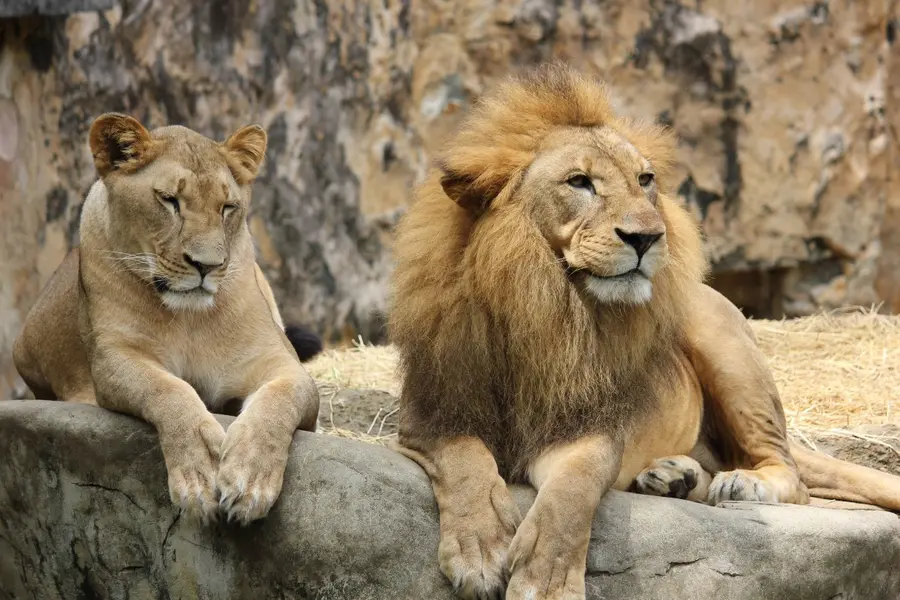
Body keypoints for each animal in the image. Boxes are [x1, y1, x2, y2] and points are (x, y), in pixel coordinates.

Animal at [13, 113, 320, 525]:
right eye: (170, 200)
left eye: (228, 207)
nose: (207, 265)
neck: (189, 319)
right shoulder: (114, 359)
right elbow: (167, 389)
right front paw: (200, 470)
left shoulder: (281, 363)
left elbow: (279, 401)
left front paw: (250, 478)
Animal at [389, 64, 900, 600]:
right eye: (579, 182)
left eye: (644, 180)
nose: (648, 237)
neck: (545, 308)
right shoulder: (433, 414)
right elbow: (466, 462)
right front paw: (481, 550)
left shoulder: (589, 428)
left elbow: (569, 497)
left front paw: (546, 582)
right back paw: (673, 477)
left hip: (724, 344)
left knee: (790, 472)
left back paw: (742, 483)